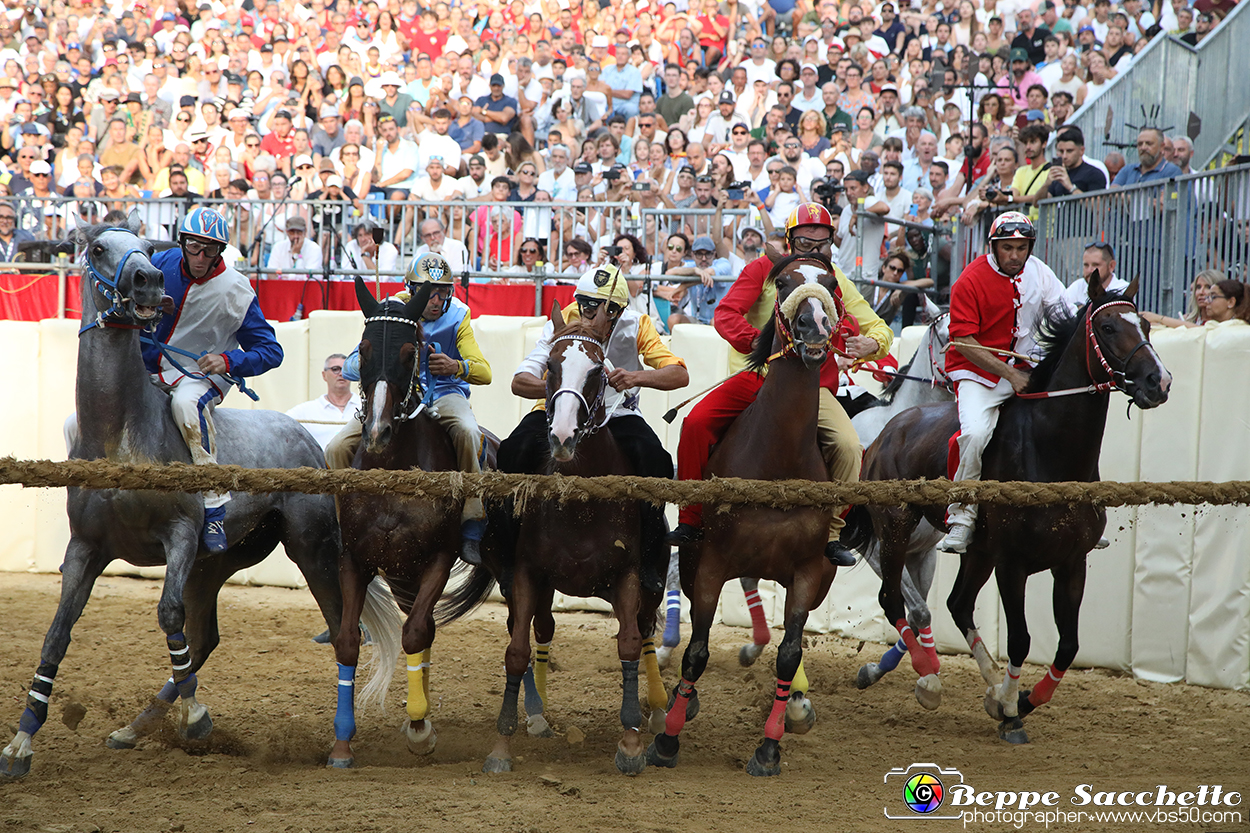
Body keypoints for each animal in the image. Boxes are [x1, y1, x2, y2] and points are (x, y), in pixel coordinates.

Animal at [0, 213, 342, 780]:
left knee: (341, 627)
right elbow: (57, 634)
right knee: (205, 638)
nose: (149, 281)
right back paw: (133, 729)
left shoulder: (180, 536)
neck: (120, 435)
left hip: (311, 549)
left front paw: (197, 714)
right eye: (98, 247)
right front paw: (20, 743)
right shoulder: (86, 548)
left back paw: (347, 739)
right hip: (217, 563)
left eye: (145, 245)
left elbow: (167, 615)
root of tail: (308, 437)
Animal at [327, 277, 472, 765]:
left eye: (412, 352)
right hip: (401, 575)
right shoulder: (355, 558)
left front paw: (419, 727)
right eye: (363, 348)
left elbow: (413, 634)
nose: (377, 431)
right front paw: (342, 741)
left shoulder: (439, 557)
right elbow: (348, 640)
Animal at [455, 301, 670, 775]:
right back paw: (538, 717)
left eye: (598, 372)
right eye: (551, 366)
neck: (580, 503)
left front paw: (630, 742)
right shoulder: (527, 575)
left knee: (646, 631)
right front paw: (502, 745)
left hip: (651, 583)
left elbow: (629, 643)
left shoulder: (628, 576)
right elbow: (516, 649)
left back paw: (660, 710)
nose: (562, 436)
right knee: (542, 628)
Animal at [650, 250, 845, 775]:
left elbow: (789, 653)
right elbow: (696, 652)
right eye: (785, 283)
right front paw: (668, 737)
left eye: (830, 286)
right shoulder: (711, 564)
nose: (815, 328)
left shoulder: (807, 572)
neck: (777, 461)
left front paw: (769, 746)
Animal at [850, 273, 1170, 740]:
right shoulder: (1012, 563)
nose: (1157, 381)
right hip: (894, 531)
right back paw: (930, 677)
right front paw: (1011, 707)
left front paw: (1018, 700)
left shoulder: (1071, 562)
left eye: (1144, 325)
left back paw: (983, 688)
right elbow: (1020, 638)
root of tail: (887, 433)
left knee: (956, 604)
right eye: (1108, 328)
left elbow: (1069, 645)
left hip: (970, 551)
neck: (1049, 451)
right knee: (895, 600)